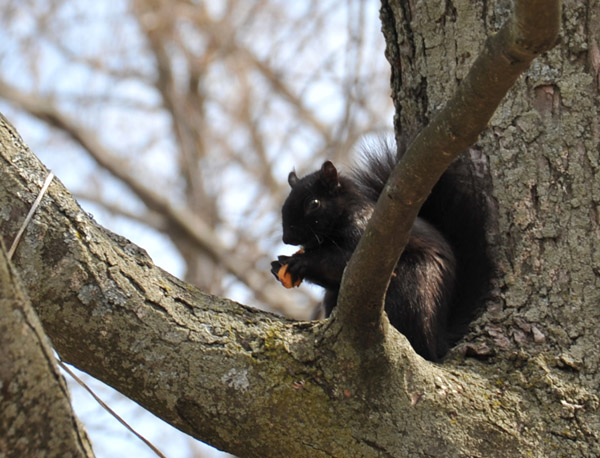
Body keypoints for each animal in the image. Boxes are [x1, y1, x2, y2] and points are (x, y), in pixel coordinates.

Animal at [270, 140, 490, 362]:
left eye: (314, 203)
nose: (287, 238)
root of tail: (438, 343)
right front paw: (278, 265)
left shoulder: (366, 240)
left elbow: (340, 263)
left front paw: (299, 262)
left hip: (412, 287)